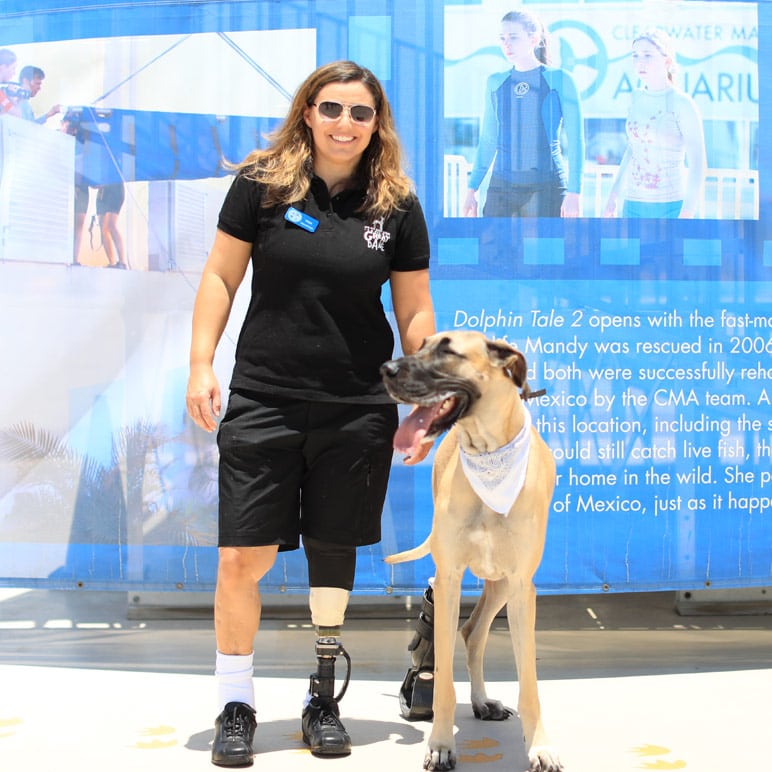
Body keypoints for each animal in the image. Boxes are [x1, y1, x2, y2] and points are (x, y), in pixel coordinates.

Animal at [380, 332, 560, 772]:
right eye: (422, 345)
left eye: (448, 350)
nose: (387, 370)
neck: (488, 454)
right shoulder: (449, 579)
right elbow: (443, 680)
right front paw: (441, 744)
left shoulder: (522, 586)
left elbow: (529, 683)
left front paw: (540, 746)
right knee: (467, 633)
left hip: (503, 586)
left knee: (474, 632)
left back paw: (482, 702)